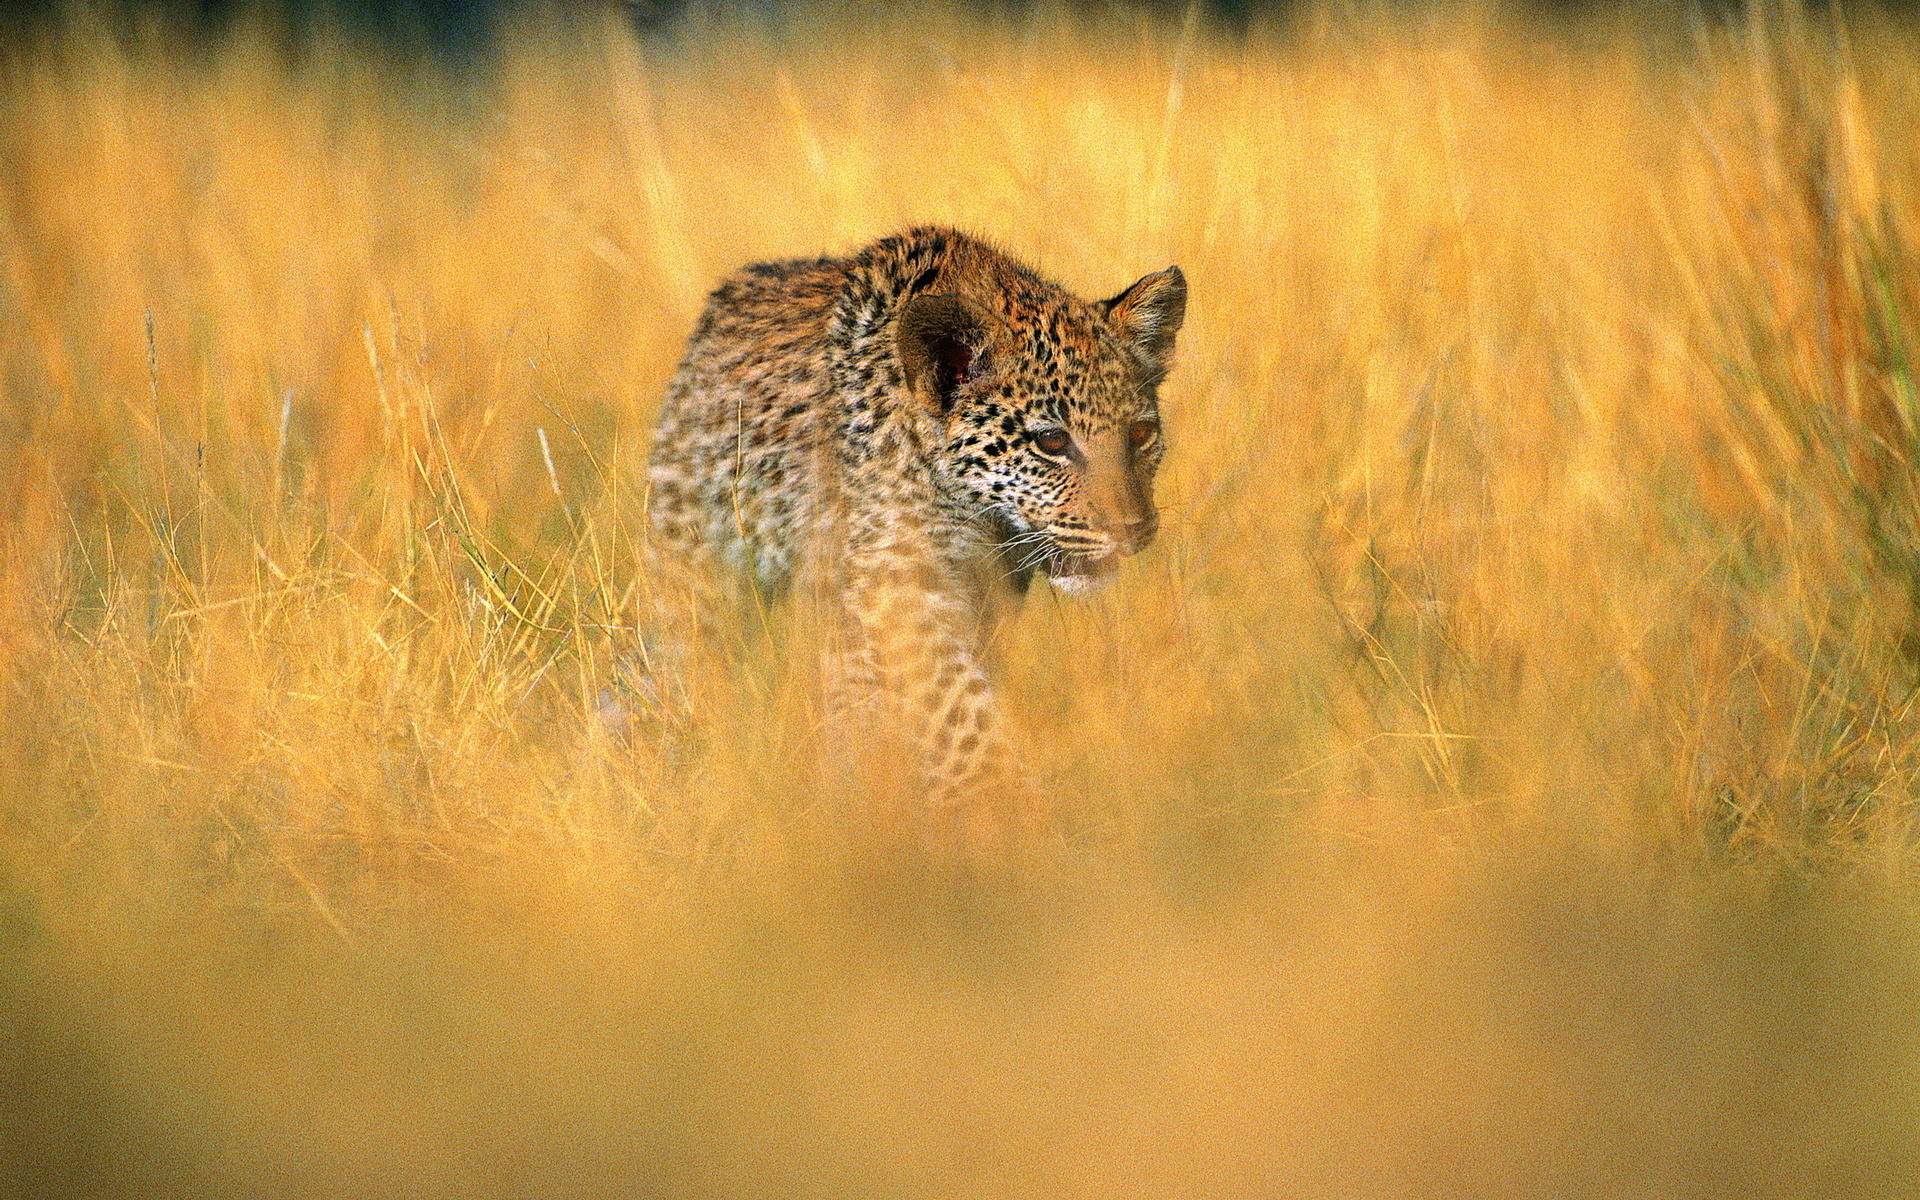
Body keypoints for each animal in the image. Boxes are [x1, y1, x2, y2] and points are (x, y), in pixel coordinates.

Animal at [645, 226, 1182, 852]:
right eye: (1051, 441)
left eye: (1140, 434)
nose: (1133, 529)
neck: (973, 512)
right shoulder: (897, 581)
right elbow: (954, 707)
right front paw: (1010, 812)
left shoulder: (985, 597)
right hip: (696, 578)